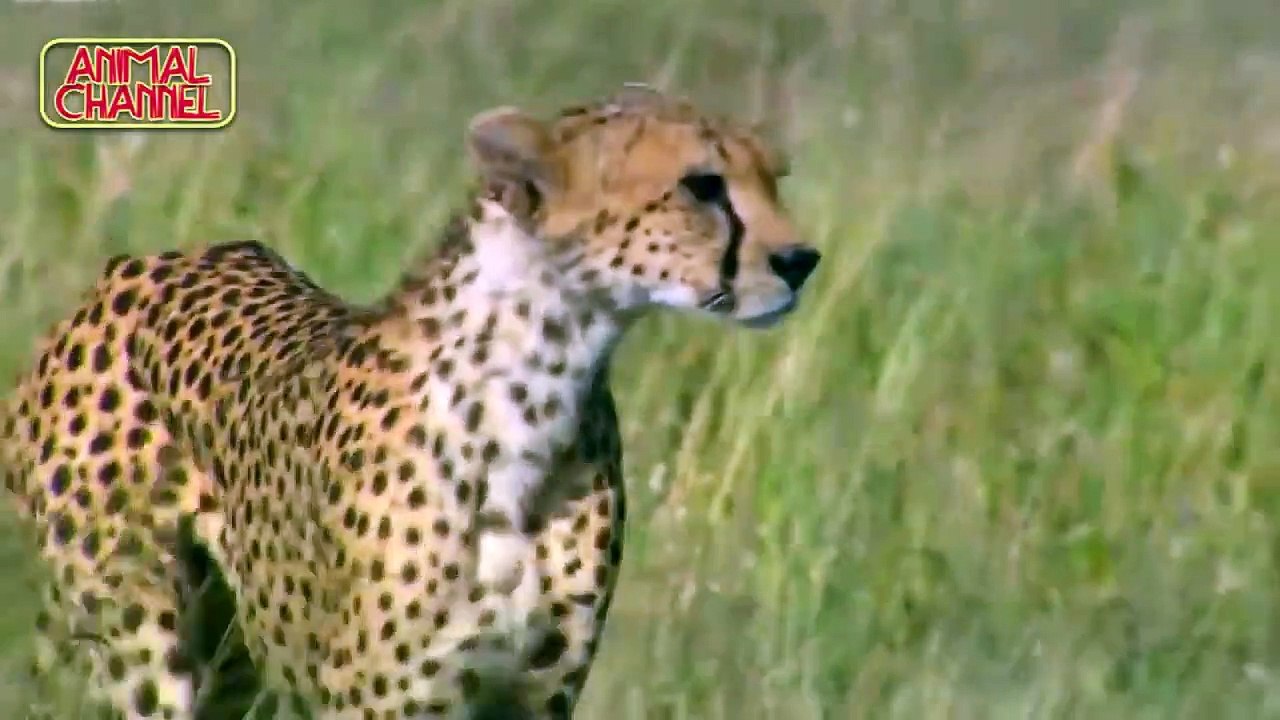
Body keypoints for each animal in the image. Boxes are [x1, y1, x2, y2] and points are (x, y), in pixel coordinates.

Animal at [0, 83, 821, 719]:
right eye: (701, 186)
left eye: (773, 176)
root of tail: (135, 265)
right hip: (141, 639)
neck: (540, 378)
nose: (800, 260)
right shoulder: (386, 698)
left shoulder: (537, 692)